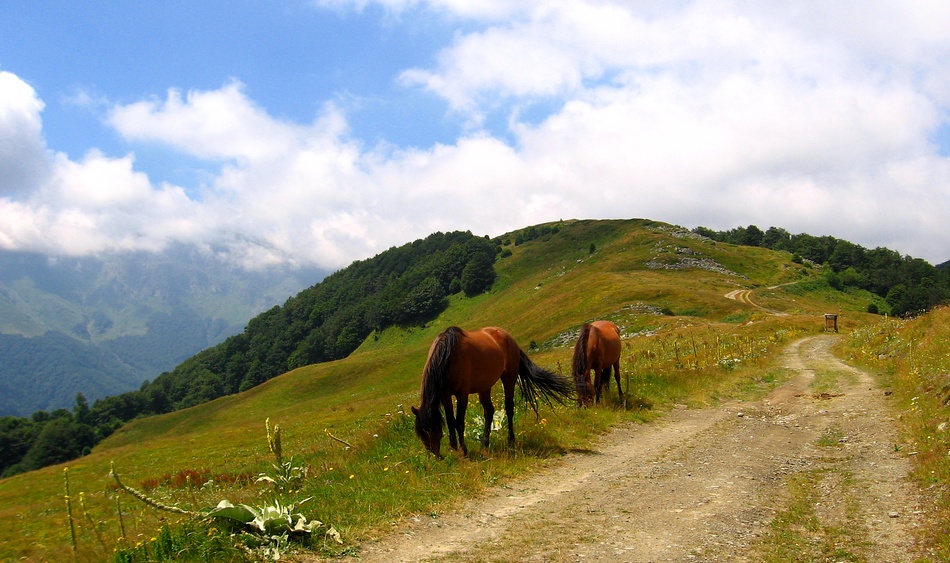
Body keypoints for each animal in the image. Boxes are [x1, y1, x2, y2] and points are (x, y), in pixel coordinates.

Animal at [411, 326, 574, 458]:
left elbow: (459, 422)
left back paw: (511, 440)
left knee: (509, 408)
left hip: (509, 378)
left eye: (432, 430)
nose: (436, 455)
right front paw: (454, 447)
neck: (449, 356)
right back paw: (485, 443)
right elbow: (450, 421)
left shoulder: (462, 394)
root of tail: (509, 338)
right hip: (484, 387)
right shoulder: (446, 395)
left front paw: (464, 450)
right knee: (489, 411)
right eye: (421, 433)